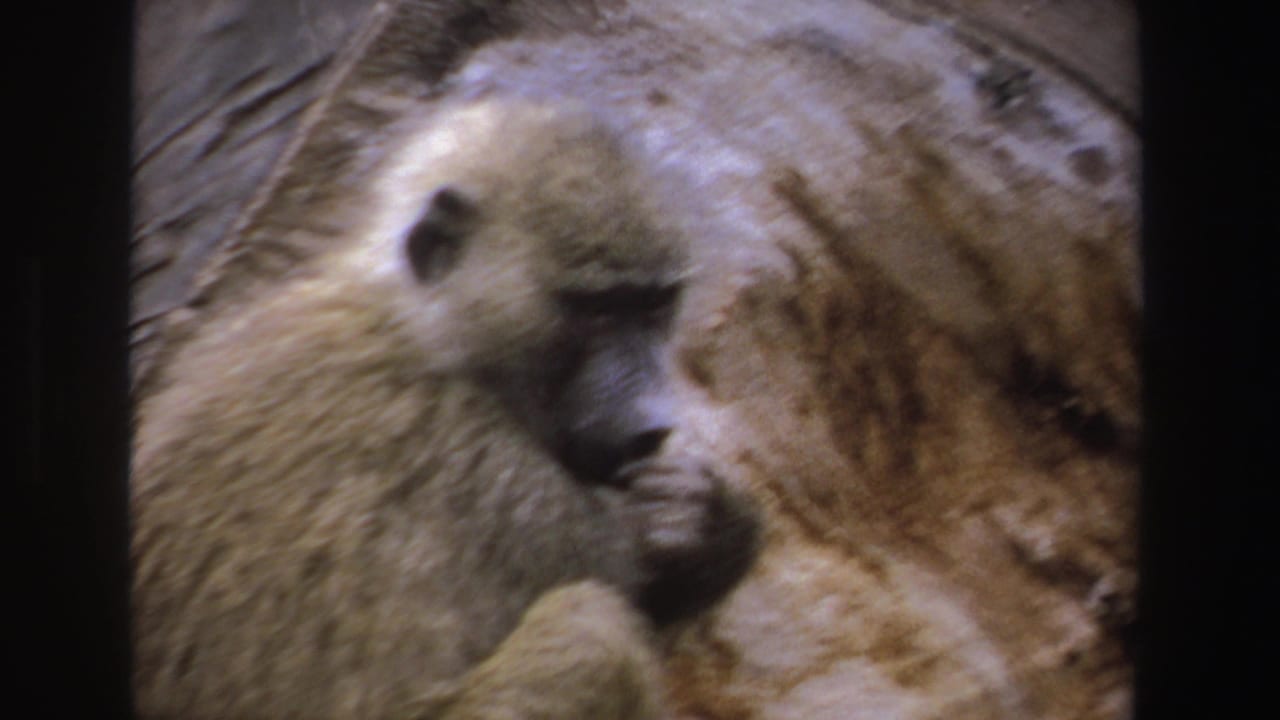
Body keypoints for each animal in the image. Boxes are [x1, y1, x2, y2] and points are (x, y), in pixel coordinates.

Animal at [129, 94, 761, 719]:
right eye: (599, 309)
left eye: (654, 304)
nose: (652, 425)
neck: (426, 331)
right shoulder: (491, 476)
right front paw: (691, 529)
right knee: (593, 635)